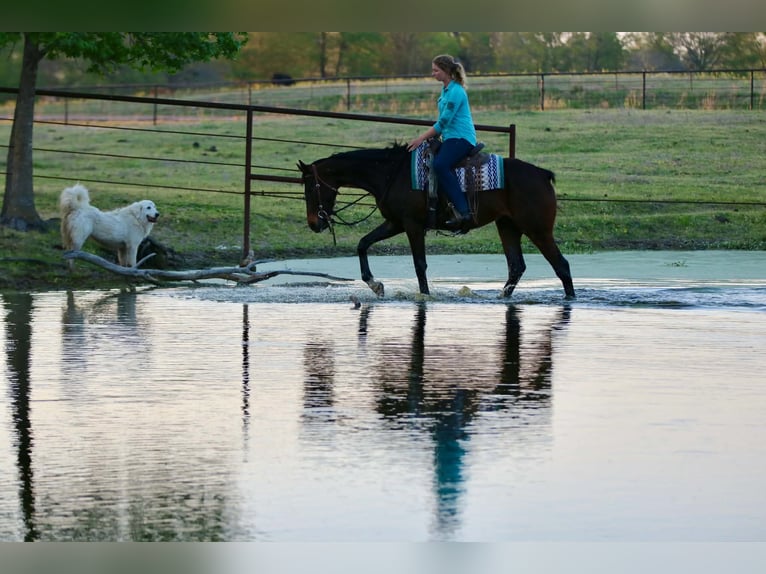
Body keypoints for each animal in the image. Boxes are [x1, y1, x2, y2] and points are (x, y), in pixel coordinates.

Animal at [297, 143, 575, 299]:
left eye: (310, 187)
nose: (314, 223)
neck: (390, 173)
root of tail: (542, 174)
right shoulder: (395, 223)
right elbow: (363, 244)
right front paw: (375, 285)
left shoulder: (412, 225)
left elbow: (420, 264)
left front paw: (425, 296)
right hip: (508, 227)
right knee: (516, 267)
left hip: (537, 230)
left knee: (561, 266)